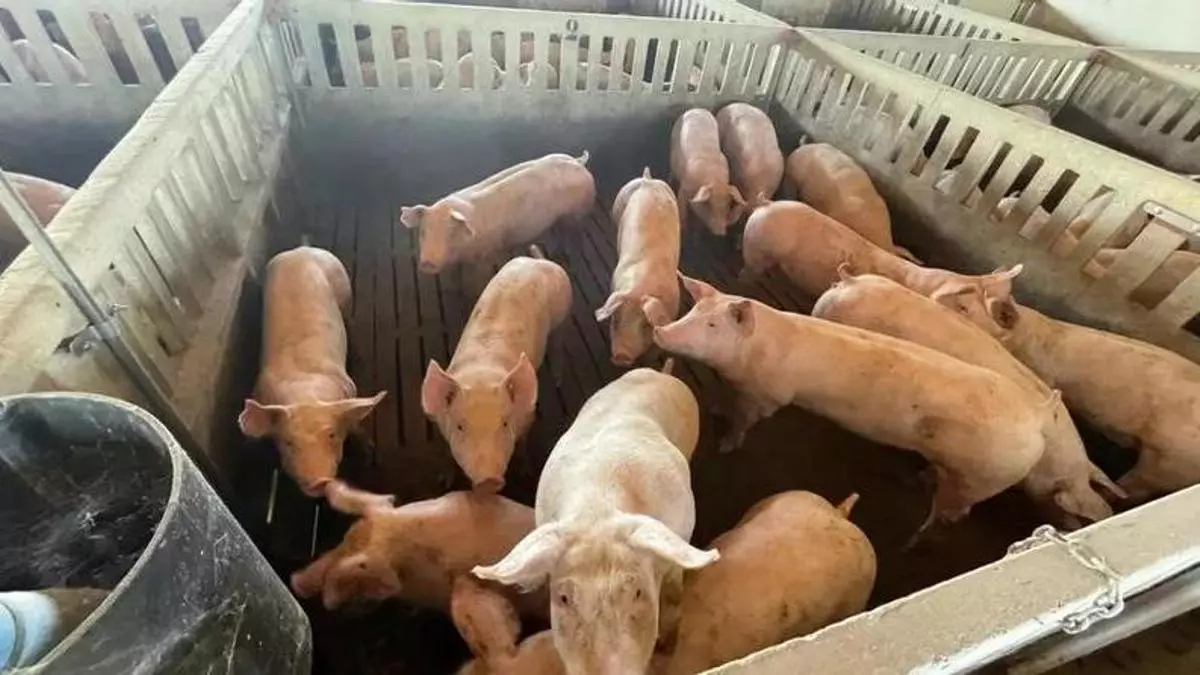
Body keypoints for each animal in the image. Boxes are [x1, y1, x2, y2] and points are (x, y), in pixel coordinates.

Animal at [238, 247, 389, 513]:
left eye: (332, 435)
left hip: (344, 288)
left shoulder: (349, 388)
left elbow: (356, 425)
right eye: (289, 443)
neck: (305, 395)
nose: (319, 481)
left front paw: (371, 452)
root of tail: (301, 249)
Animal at [401, 152, 596, 274]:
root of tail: (578, 162)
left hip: (579, 213)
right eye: (423, 232)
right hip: (559, 218)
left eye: (450, 233)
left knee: (576, 237)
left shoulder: (487, 252)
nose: (427, 263)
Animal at [423, 247, 572, 491]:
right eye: (460, 427)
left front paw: (526, 472)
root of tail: (540, 261)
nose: (488, 480)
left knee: (559, 345)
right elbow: (446, 452)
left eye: (504, 423)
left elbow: (522, 445)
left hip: (564, 315)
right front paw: (444, 481)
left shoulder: (528, 416)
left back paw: (558, 379)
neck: (481, 376)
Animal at [653, 274, 1048, 538]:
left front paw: (725, 445)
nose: (660, 331)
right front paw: (717, 413)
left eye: (712, 324)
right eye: (693, 310)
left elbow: (744, 422)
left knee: (956, 510)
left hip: (981, 478)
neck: (756, 349)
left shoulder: (768, 395)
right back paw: (916, 480)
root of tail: (1035, 426)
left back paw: (919, 533)